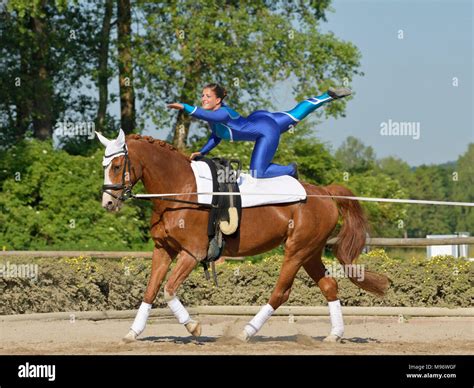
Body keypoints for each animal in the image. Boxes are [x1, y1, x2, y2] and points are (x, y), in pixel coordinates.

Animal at [95, 130, 388, 342]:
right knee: (329, 286)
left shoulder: (192, 253)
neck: (181, 191)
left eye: (117, 165)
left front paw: (194, 327)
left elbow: (168, 290)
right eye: (104, 165)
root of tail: (324, 192)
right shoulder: (163, 249)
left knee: (280, 293)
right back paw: (334, 335)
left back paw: (246, 332)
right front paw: (133, 332)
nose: (107, 203)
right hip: (310, 253)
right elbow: (150, 290)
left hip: (296, 251)